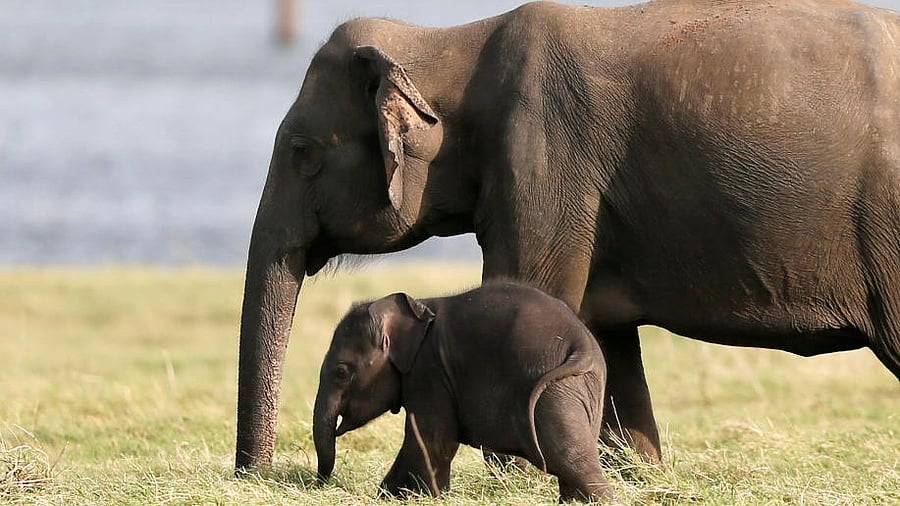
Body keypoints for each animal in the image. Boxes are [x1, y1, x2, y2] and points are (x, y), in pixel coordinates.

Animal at [235, 0, 900, 472]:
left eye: (302, 153)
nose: (258, 474)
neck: (451, 41)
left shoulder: (544, 162)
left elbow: (531, 298)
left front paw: (514, 474)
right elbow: (604, 336)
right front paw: (637, 470)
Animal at [313, 282, 613, 502]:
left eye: (341, 372)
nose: (320, 484)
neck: (418, 305)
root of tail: (583, 345)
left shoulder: (430, 371)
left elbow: (431, 439)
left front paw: (426, 498)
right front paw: (388, 497)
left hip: (556, 392)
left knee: (566, 454)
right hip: (581, 390)